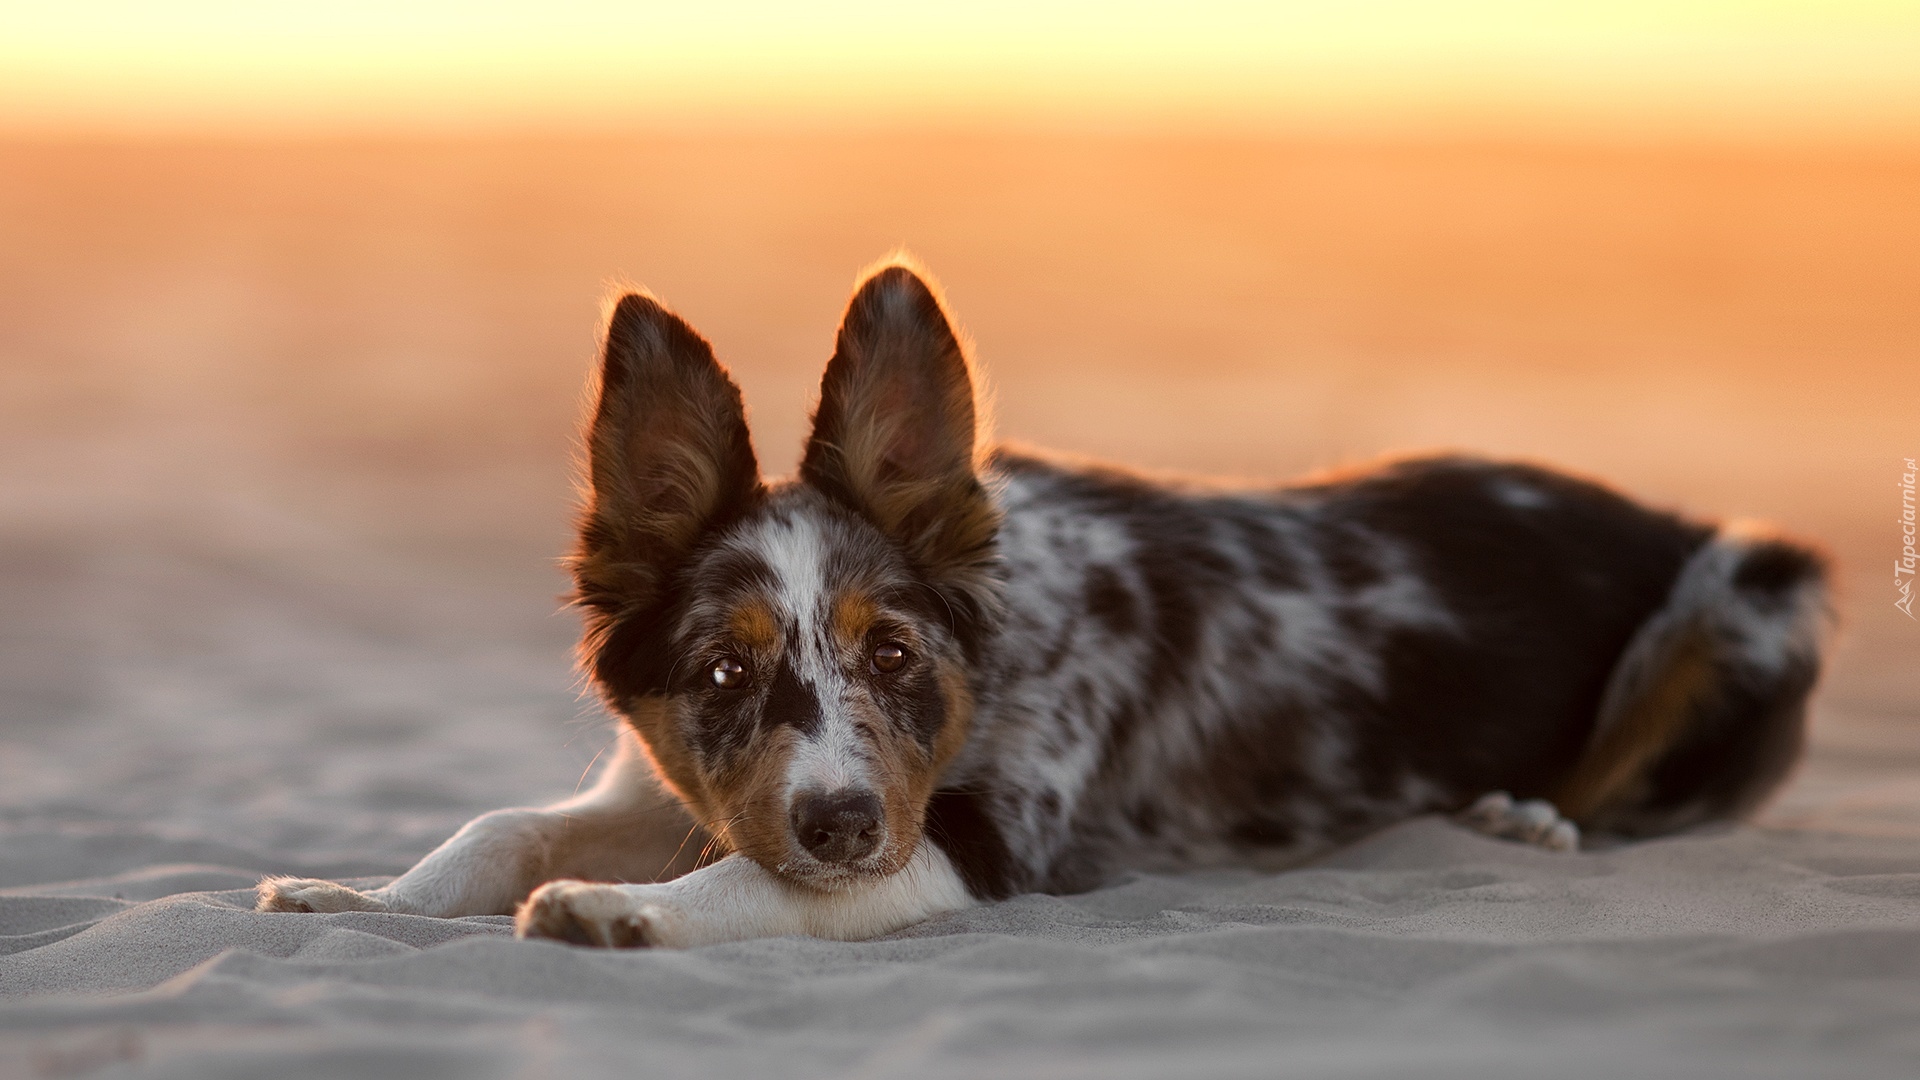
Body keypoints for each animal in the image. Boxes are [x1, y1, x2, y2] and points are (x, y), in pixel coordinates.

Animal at [255, 259, 1827, 941]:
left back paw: (1526, 821)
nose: (844, 823)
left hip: (1751, 584)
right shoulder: (677, 781)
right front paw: (361, 894)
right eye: (720, 674)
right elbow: (499, 825)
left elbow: (753, 880)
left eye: (896, 653)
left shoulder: (972, 839)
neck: (992, 665)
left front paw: (620, 912)